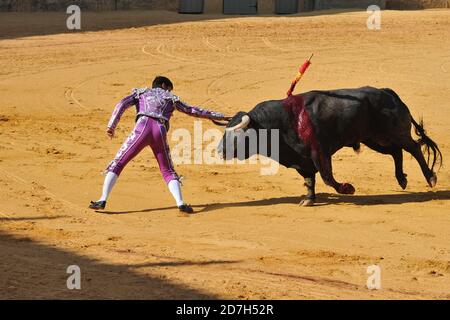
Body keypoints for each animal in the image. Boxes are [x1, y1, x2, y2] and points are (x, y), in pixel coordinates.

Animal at [216, 86, 442, 206]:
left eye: (237, 134)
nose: (220, 151)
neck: (280, 122)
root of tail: (388, 92)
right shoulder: (302, 160)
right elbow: (310, 180)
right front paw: (308, 200)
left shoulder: (320, 152)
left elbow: (327, 177)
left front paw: (348, 188)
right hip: (374, 139)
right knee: (396, 151)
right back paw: (402, 179)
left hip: (395, 133)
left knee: (413, 148)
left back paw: (430, 177)